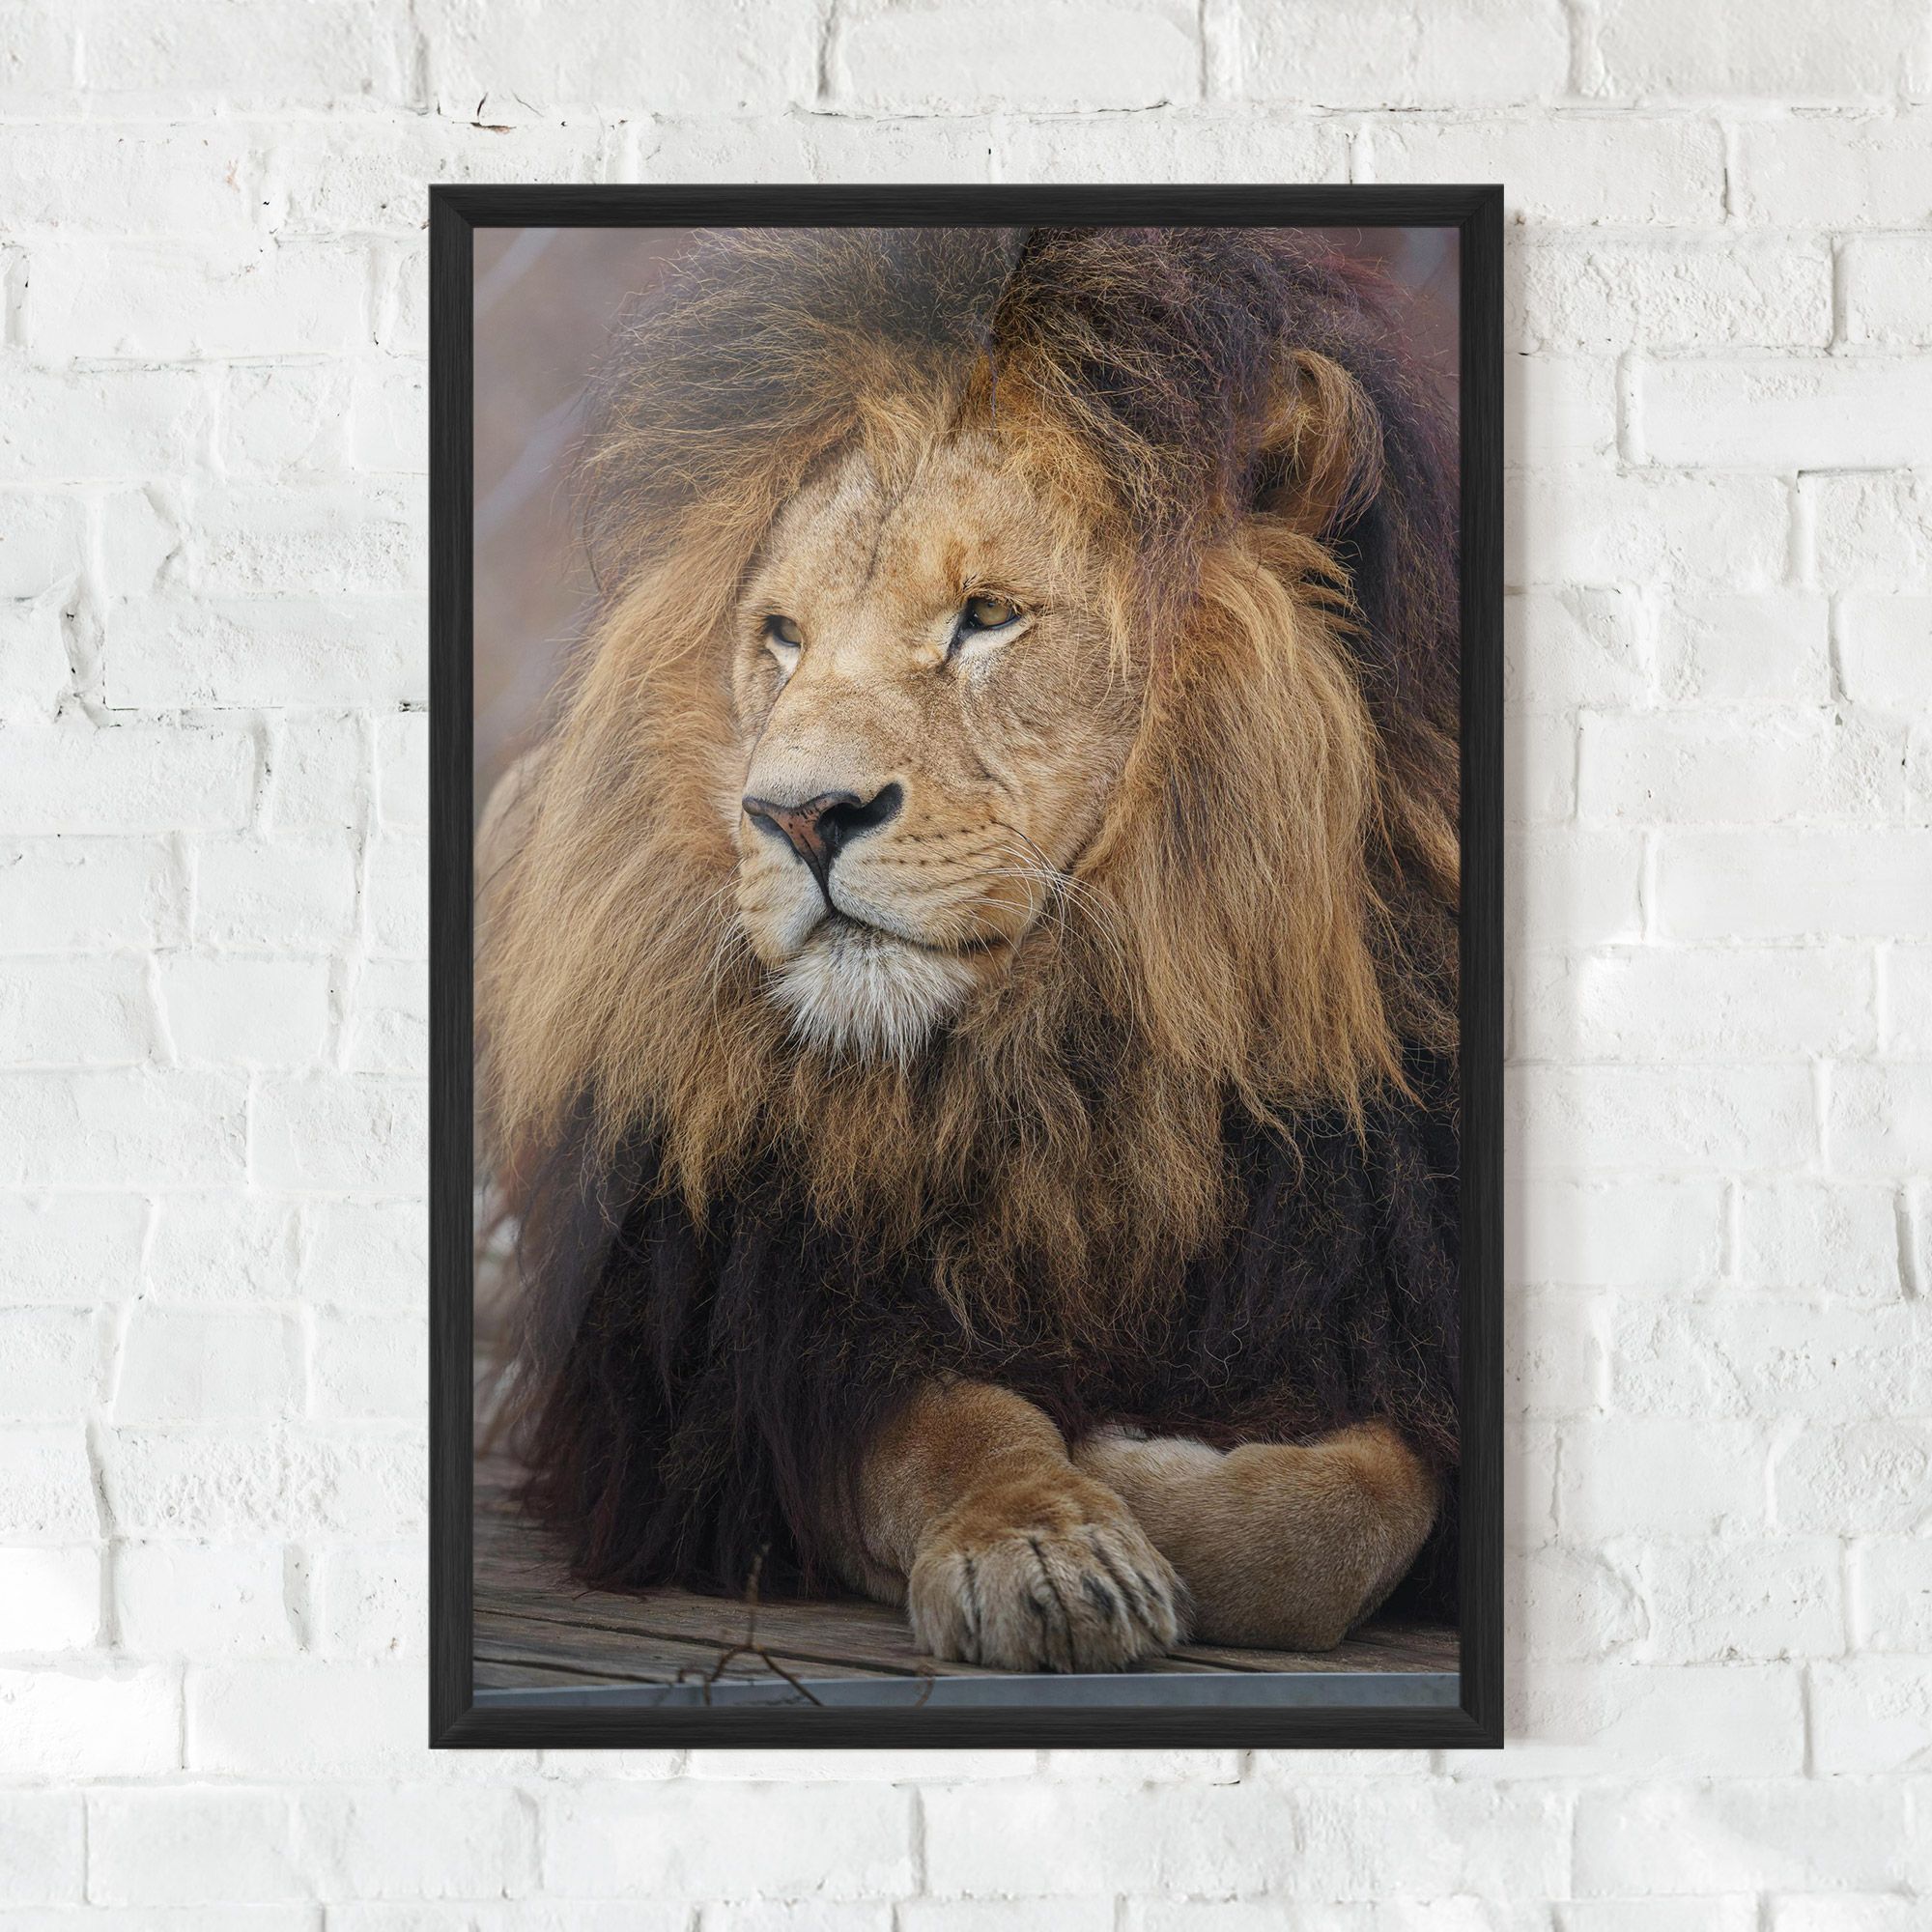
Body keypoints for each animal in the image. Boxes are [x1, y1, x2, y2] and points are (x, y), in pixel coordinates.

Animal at [480, 226, 1462, 1671]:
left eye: (988, 616)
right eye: (781, 637)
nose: (795, 815)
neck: (1077, 1062)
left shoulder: (1374, 1295)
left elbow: (1346, 1521)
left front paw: (1148, 1464)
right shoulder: (747, 1360)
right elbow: (950, 1430)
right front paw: (1051, 1542)